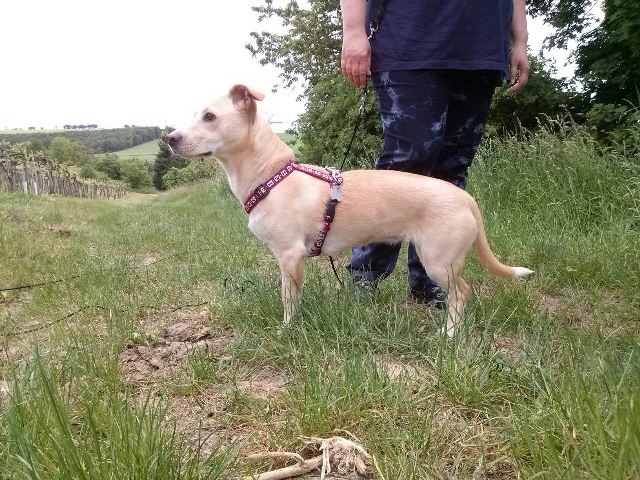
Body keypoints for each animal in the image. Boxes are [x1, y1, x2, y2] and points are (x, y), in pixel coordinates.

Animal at [168, 84, 534, 336]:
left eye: (210, 117)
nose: (170, 138)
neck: (272, 175)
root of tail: (464, 197)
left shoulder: (289, 255)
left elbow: (289, 298)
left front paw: (287, 329)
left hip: (438, 261)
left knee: (462, 293)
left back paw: (450, 333)